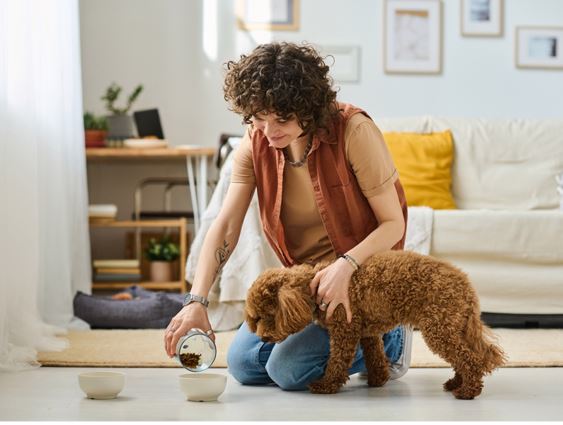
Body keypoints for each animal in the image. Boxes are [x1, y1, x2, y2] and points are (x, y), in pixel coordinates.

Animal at [246, 248, 506, 398]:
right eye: (254, 318)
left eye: (267, 315)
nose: (262, 337)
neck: (316, 285)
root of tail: (466, 286)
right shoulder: (367, 332)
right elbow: (375, 356)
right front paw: (378, 379)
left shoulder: (345, 330)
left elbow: (337, 362)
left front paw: (326, 385)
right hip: (453, 325)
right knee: (468, 356)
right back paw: (455, 383)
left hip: (439, 328)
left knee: (470, 359)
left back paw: (468, 391)